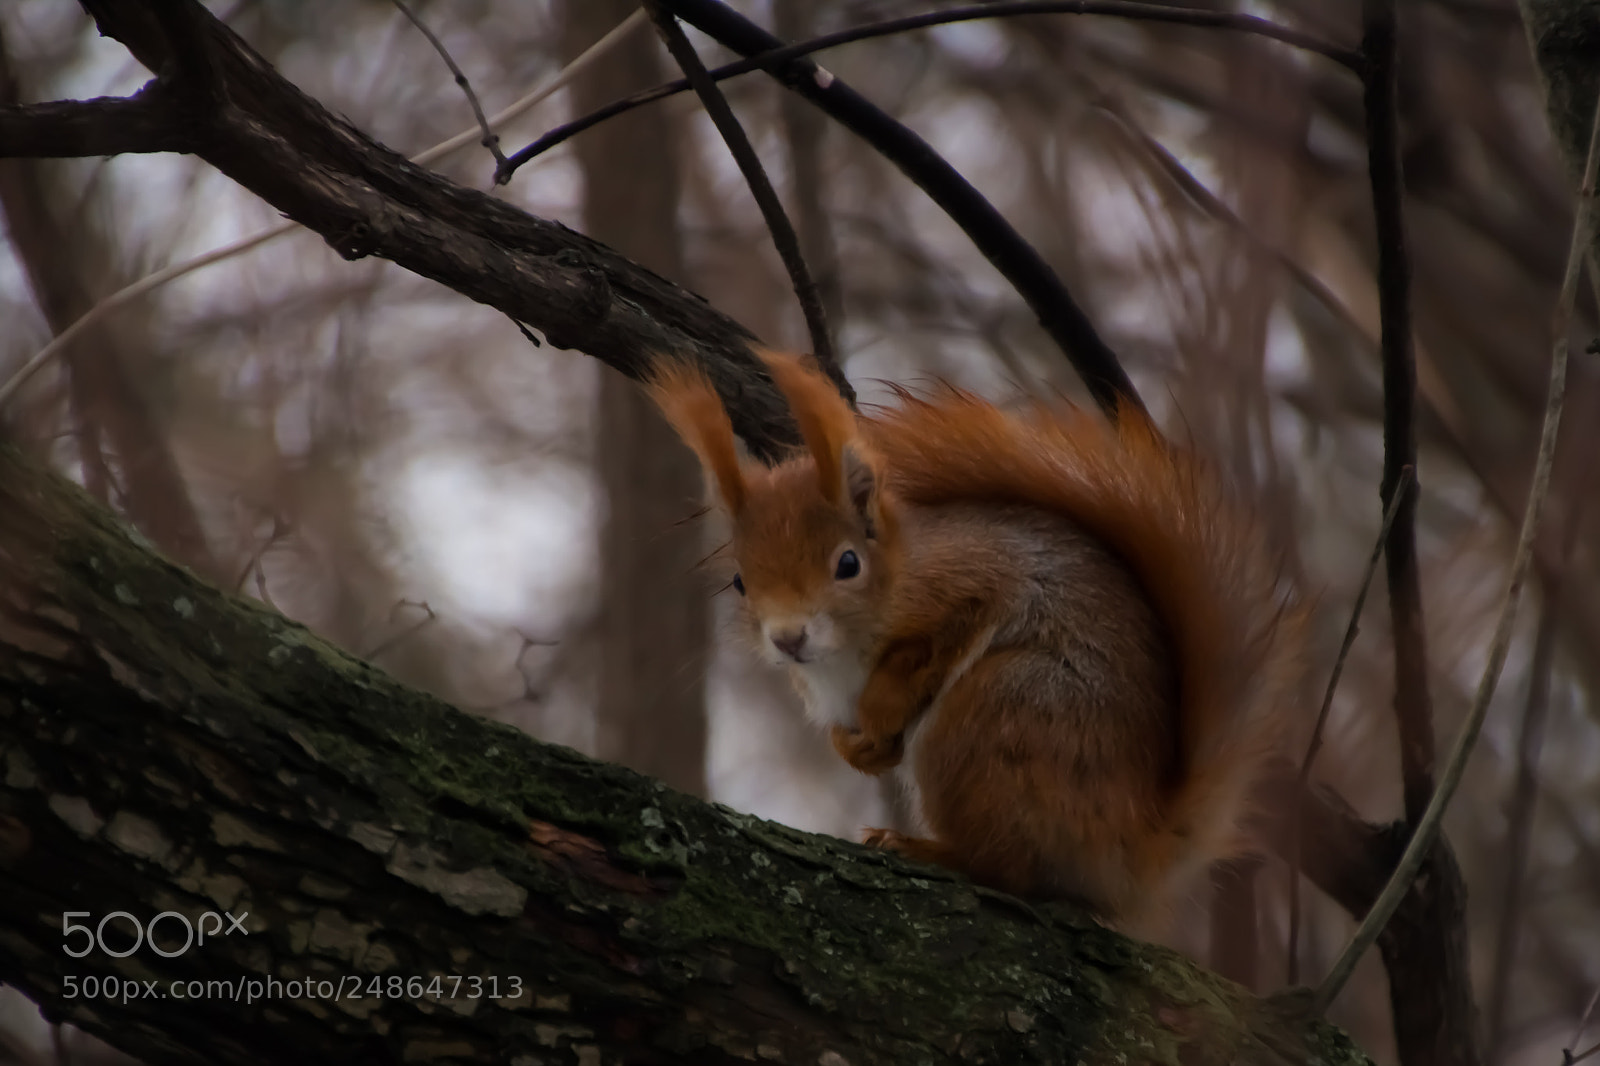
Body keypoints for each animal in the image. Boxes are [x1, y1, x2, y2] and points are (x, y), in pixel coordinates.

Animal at [646, 349, 1306, 926]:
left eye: (848, 564)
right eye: (739, 580)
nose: (787, 639)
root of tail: (1133, 846)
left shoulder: (973, 588)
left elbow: (932, 649)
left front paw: (881, 710)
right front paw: (860, 750)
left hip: (995, 716)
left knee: (1006, 870)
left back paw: (925, 849)